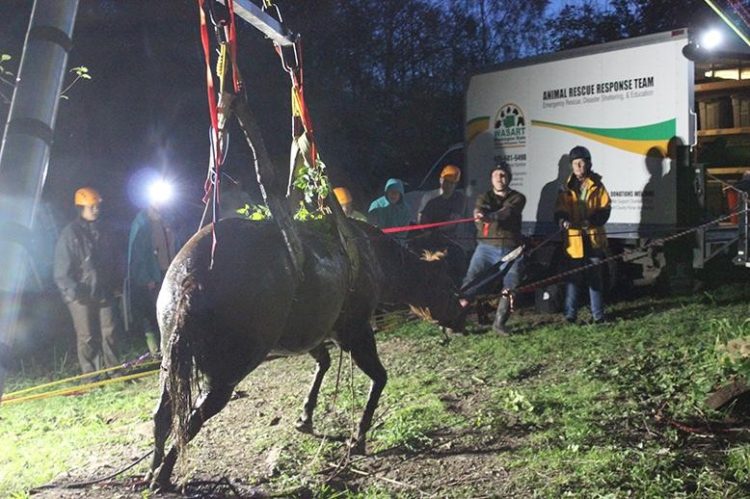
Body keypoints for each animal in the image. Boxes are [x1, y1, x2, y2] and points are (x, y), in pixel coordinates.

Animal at [147, 217, 464, 490]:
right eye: (448, 285)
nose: (462, 317)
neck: (372, 256)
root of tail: (193, 279)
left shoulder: (315, 336)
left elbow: (323, 364)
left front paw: (306, 417)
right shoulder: (356, 331)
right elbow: (379, 377)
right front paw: (358, 438)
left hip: (170, 362)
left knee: (162, 414)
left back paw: (152, 470)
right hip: (226, 374)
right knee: (191, 420)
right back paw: (163, 476)